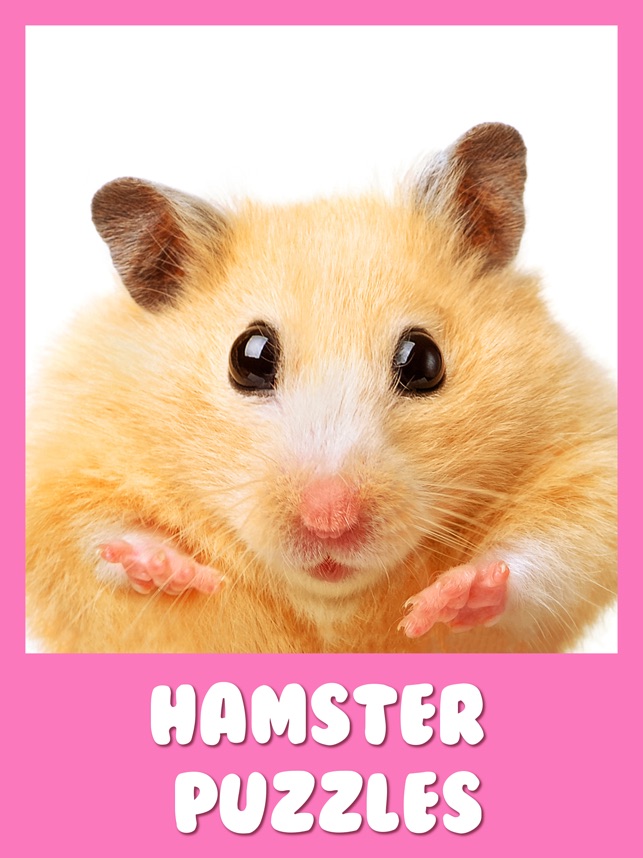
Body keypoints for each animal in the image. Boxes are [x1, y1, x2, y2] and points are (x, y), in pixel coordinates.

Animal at [26, 123, 617, 654]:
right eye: (248, 358)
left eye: (423, 361)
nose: (330, 521)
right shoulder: (61, 468)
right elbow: (95, 533)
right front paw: (169, 568)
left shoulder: (585, 463)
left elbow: (545, 556)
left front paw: (454, 593)